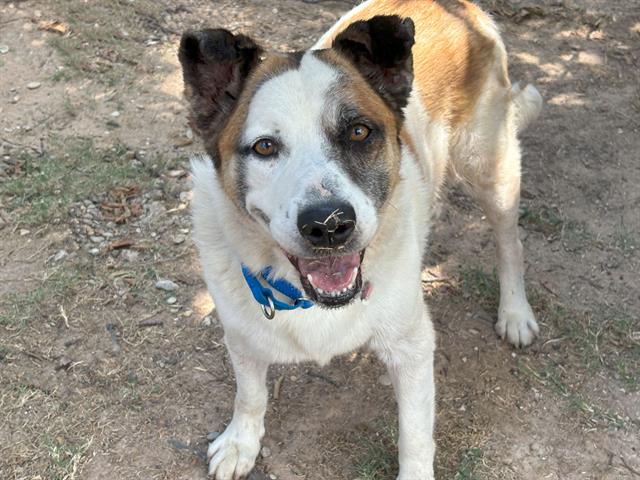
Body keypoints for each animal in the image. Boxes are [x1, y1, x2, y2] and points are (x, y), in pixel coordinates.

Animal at [178, 1, 544, 478]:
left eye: (358, 132)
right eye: (264, 147)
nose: (328, 224)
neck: (312, 301)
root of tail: (456, 8)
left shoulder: (412, 347)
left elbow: (414, 436)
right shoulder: (241, 332)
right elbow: (250, 393)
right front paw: (241, 442)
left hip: (489, 167)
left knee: (509, 244)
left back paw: (515, 312)